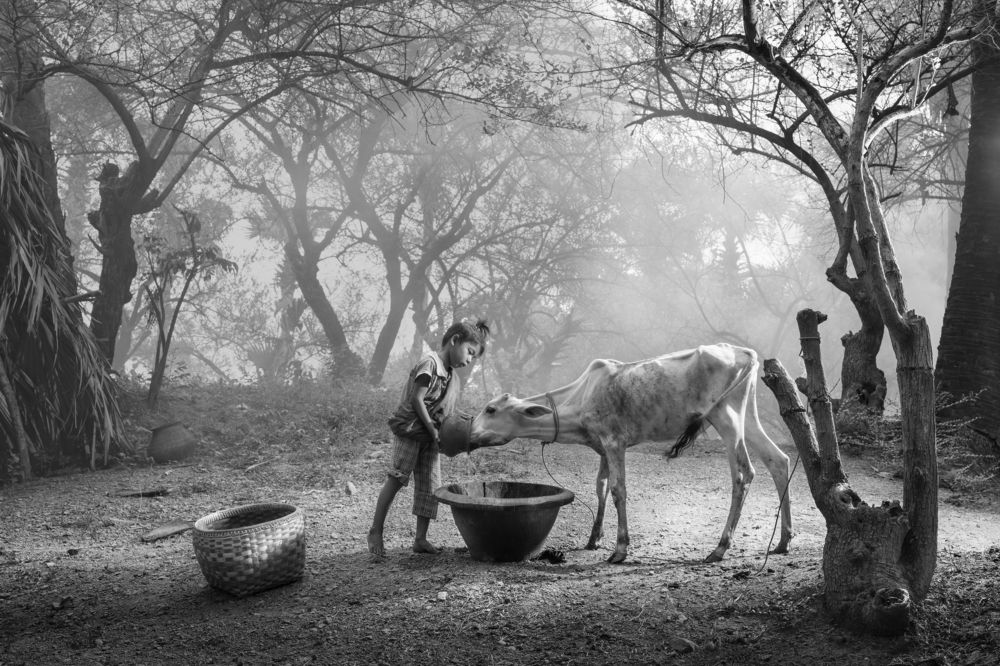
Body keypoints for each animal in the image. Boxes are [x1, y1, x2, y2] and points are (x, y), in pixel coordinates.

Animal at [468, 343, 792, 564]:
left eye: (491, 409)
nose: (469, 432)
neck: (582, 399)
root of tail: (742, 352)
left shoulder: (614, 443)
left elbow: (617, 490)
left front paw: (619, 549)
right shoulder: (602, 447)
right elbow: (599, 487)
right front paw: (594, 538)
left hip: (726, 420)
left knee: (743, 474)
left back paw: (720, 547)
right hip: (748, 419)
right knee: (778, 460)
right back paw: (784, 540)